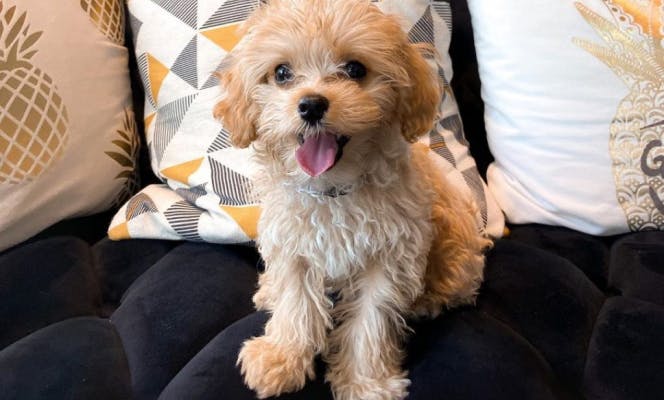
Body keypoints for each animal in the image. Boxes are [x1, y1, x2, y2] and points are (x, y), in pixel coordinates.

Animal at [215, 1, 490, 398]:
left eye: (355, 69)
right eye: (282, 73)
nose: (311, 105)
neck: (332, 190)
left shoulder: (391, 255)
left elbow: (370, 320)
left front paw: (366, 382)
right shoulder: (292, 245)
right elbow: (295, 302)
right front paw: (281, 358)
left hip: (456, 249)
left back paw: (426, 300)